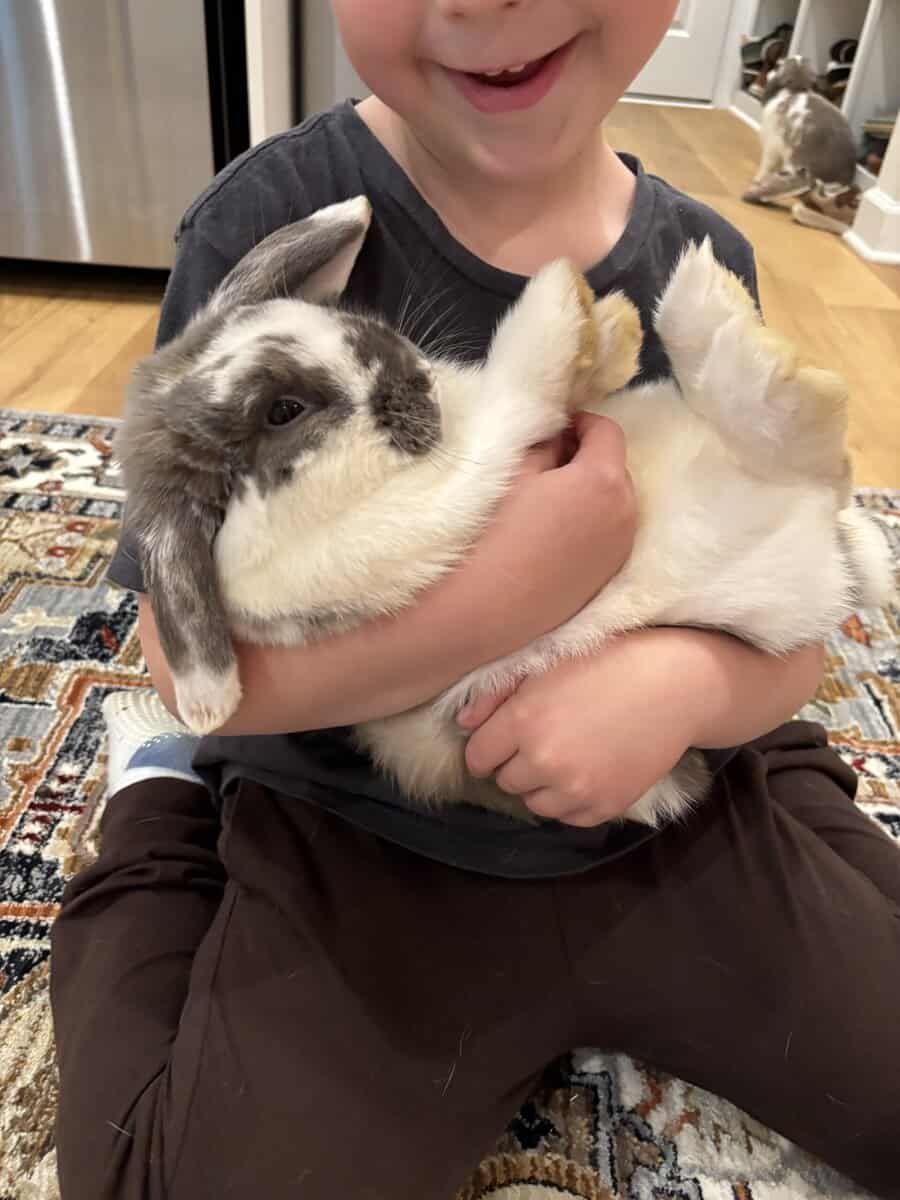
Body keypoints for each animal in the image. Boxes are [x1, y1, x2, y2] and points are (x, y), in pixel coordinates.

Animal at [116, 195, 894, 829]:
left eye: (339, 321)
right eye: (282, 411)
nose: (413, 377)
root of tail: (822, 552)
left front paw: (606, 332)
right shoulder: (436, 502)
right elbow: (517, 395)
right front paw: (561, 304)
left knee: (804, 452)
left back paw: (705, 306)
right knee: (791, 436)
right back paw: (708, 312)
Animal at [743, 56, 858, 205]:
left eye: (780, 66)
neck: (796, 88)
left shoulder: (772, 146)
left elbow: (767, 166)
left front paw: (757, 179)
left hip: (791, 158)